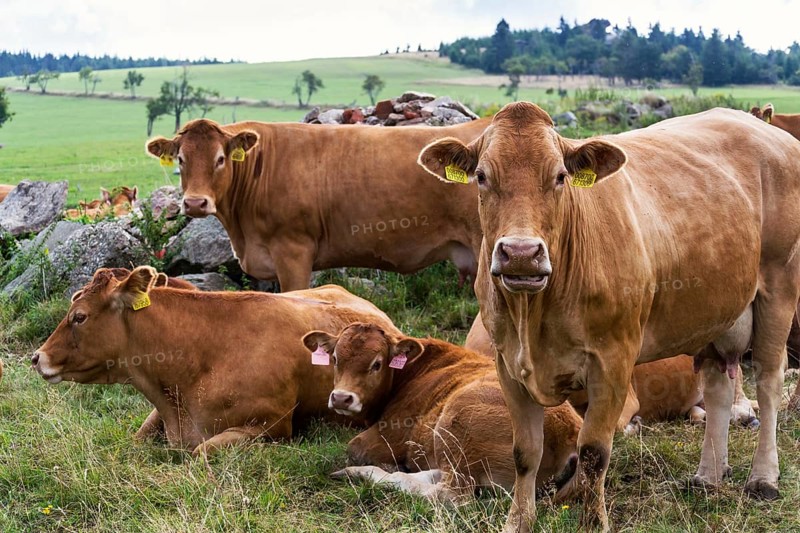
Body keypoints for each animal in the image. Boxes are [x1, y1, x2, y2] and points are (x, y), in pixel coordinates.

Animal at [301, 322, 582, 501]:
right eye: (335, 359)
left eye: (377, 364)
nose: (341, 398)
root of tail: (571, 431)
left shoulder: (387, 435)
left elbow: (354, 448)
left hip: (458, 422)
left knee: (448, 494)